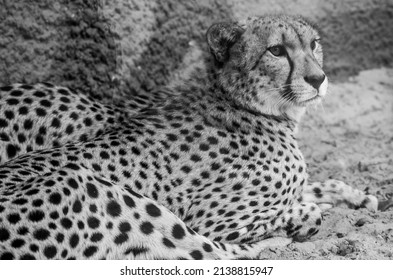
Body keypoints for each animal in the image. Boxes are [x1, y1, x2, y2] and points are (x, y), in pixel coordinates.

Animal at [0, 15, 380, 260]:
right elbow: (303, 210)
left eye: (314, 44)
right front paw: (306, 217)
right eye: (276, 50)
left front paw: (358, 197)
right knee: (209, 253)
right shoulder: (215, 221)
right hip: (89, 185)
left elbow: (318, 185)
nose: (318, 79)